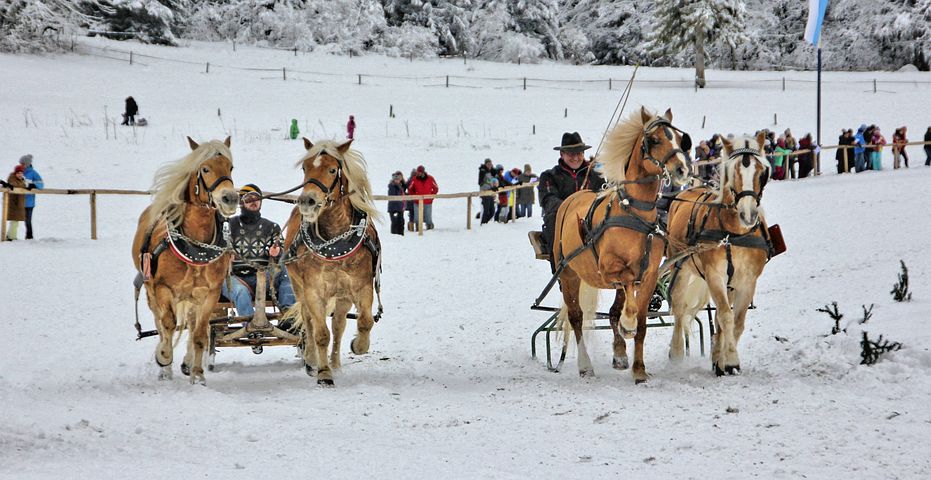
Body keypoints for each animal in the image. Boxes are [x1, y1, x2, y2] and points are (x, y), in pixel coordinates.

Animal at [132, 137, 240, 384]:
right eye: (205, 168)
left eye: (230, 167)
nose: (229, 198)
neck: (195, 245)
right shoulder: (162, 288)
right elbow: (168, 324)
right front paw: (163, 356)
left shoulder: (209, 294)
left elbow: (200, 333)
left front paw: (197, 374)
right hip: (151, 290)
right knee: (160, 323)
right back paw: (165, 367)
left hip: (192, 297)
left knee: (190, 324)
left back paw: (187, 362)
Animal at [286, 138, 384, 386]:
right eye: (305, 168)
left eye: (332, 170)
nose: (307, 201)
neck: (335, 241)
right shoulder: (313, 291)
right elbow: (320, 333)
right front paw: (323, 372)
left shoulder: (362, 287)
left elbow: (364, 322)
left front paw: (359, 346)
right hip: (299, 288)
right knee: (309, 321)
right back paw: (312, 359)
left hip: (342, 297)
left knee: (339, 324)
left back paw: (336, 363)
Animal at [552, 108, 692, 382]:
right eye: (655, 140)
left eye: (680, 140)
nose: (681, 169)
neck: (635, 214)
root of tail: (573, 197)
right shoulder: (610, 269)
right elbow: (628, 291)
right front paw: (628, 325)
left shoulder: (648, 276)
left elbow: (641, 324)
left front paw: (639, 369)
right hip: (568, 274)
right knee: (576, 318)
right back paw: (585, 365)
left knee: (613, 311)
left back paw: (619, 353)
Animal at [668, 130, 776, 376]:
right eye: (734, 171)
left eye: (762, 171)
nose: (748, 214)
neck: (733, 234)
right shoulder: (714, 275)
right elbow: (726, 316)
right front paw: (733, 359)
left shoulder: (747, 280)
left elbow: (737, 320)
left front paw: (724, 360)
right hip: (682, 268)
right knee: (679, 308)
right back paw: (676, 352)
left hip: (730, 283)